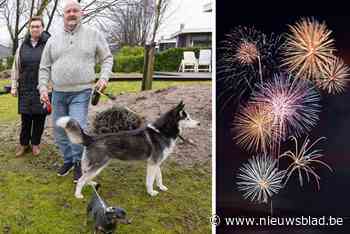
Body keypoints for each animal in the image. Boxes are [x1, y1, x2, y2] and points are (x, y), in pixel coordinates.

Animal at [57, 101, 200, 198]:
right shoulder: (152, 164)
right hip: (99, 165)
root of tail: (91, 138)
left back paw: (90, 183)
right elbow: (150, 181)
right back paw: (78, 195)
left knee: (85, 175)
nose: (199, 123)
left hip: (96, 165)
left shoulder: (156, 163)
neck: (162, 132)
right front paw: (151, 192)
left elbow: (159, 177)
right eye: (187, 118)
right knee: (81, 179)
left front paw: (161, 187)